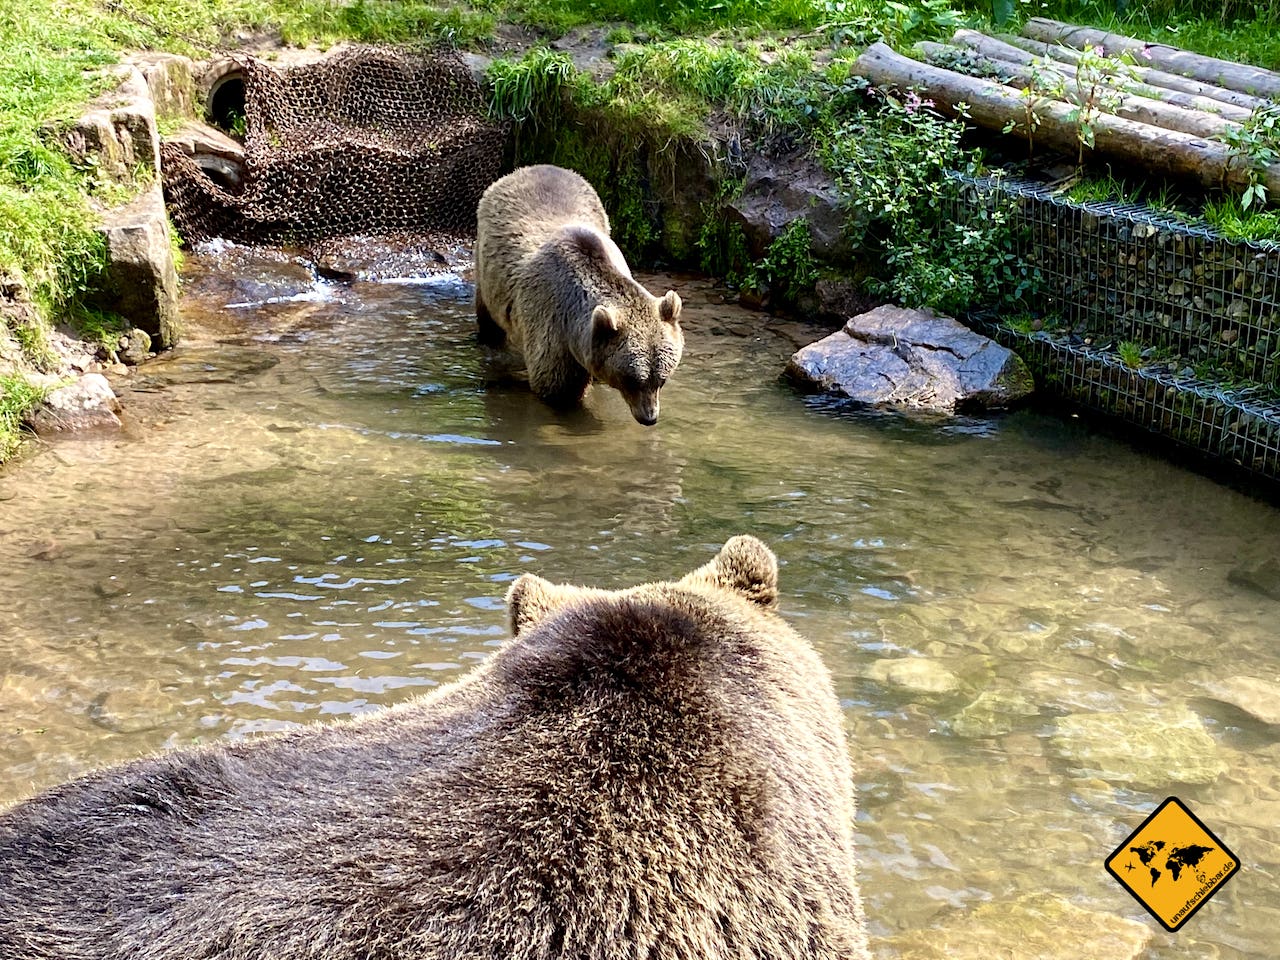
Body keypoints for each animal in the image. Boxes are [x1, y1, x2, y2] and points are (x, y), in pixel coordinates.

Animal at [476, 163, 686, 427]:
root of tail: (530, 167)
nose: (649, 417)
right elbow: (557, 389)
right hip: (487, 269)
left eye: (662, 379)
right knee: (488, 316)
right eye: (632, 379)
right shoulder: (551, 325)